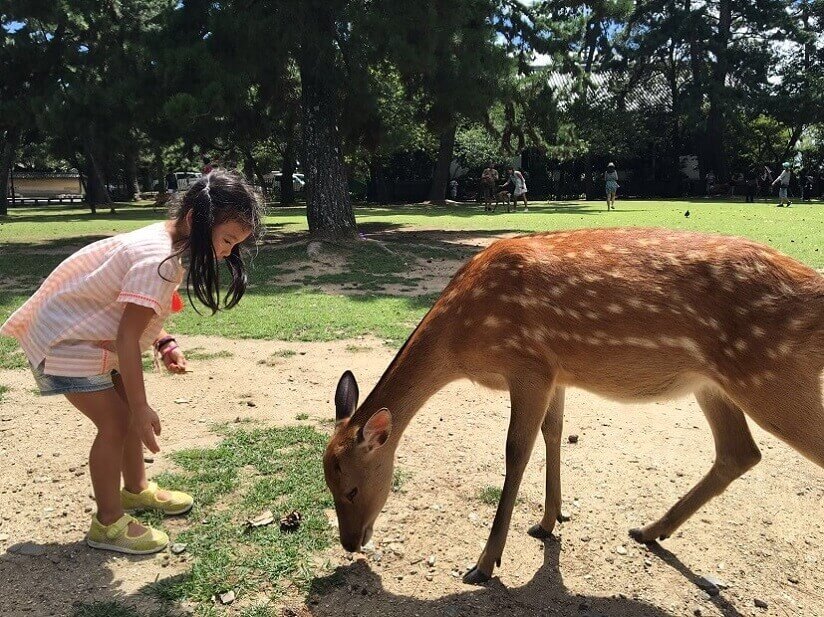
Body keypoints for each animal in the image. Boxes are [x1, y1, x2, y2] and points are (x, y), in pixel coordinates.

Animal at [323, 227, 824, 585]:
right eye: (327, 484)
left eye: (351, 489)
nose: (350, 543)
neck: (463, 342)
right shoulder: (556, 372)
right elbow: (554, 433)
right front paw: (548, 521)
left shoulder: (528, 365)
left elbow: (516, 451)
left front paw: (484, 563)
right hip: (716, 384)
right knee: (739, 451)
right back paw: (648, 530)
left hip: (771, 376)